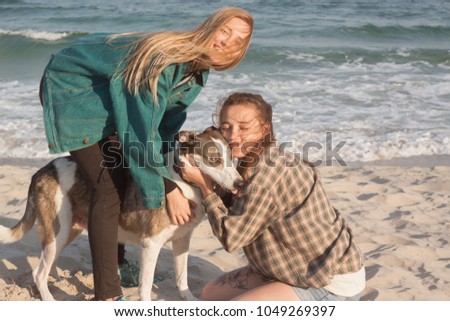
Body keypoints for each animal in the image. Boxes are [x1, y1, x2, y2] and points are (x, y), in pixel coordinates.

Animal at [0, 125, 243, 300]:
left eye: (232, 158)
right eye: (215, 160)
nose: (240, 183)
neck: (182, 180)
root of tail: (40, 172)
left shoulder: (182, 240)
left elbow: (182, 278)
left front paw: (189, 300)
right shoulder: (150, 244)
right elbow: (145, 287)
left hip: (68, 231)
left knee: (47, 265)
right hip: (57, 232)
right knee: (38, 273)